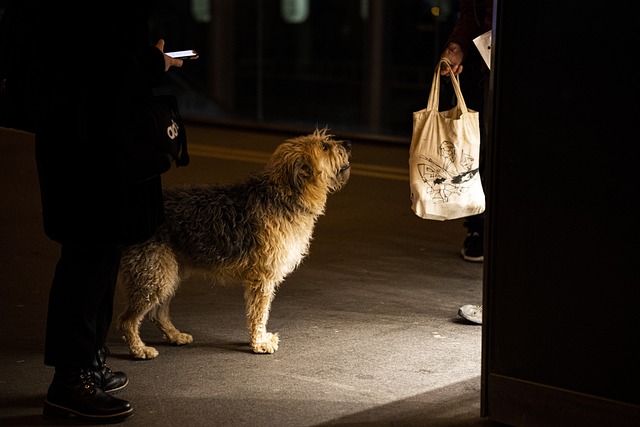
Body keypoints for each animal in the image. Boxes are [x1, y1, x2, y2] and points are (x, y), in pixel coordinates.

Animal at [117, 129, 352, 360]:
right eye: (324, 147)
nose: (348, 144)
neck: (283, 196)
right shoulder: (263, 278)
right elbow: (259, 314)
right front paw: (260, 343)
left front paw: (261, 339)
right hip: (154, 275)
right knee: (127, 319)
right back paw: (139, 349)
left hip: (167, 274)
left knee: (157, 313)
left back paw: (175, 336)